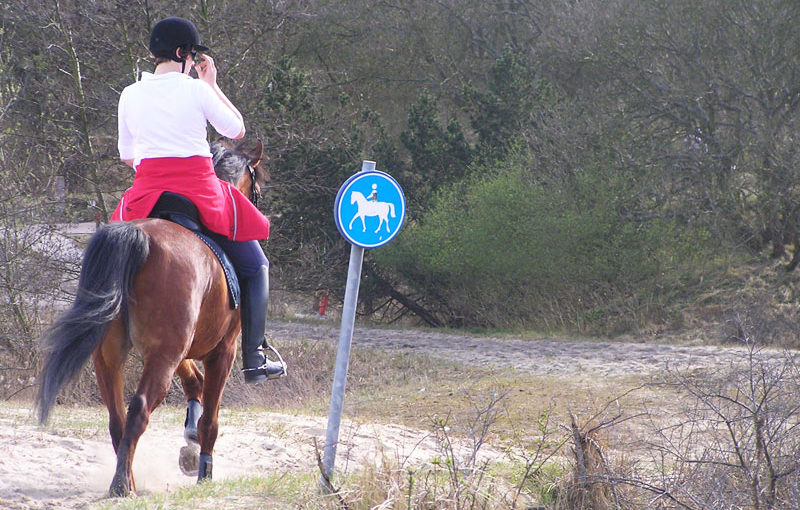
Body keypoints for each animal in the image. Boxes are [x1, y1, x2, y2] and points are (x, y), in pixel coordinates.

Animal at [36, 137, 272, 496]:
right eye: (256, 186)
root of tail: (138, 237)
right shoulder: (223, 351)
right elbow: (211, 418)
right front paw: (204, 470)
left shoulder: (180, 348)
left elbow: (193, 381)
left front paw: (190, 445)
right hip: (164, 355)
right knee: (139, 408)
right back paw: (122, 485)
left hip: (111, 357)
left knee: (117, 418)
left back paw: (129, 480)